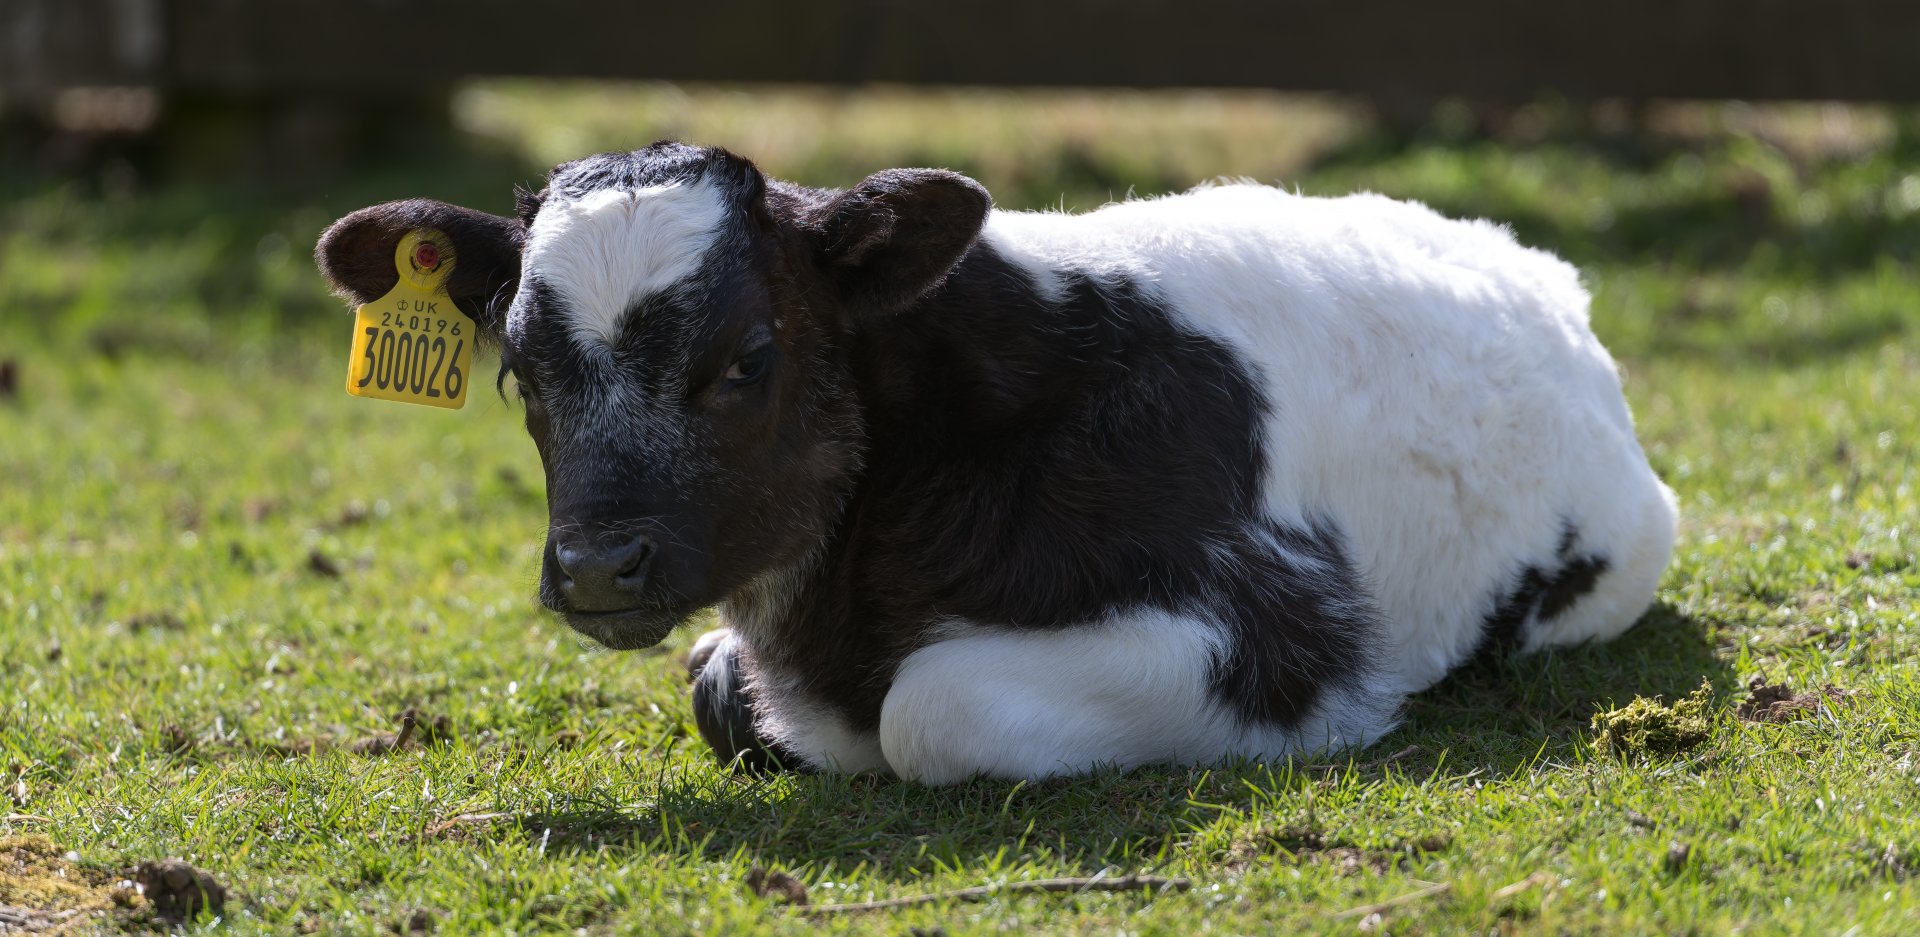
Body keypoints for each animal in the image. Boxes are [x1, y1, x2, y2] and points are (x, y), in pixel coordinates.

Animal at [316, 141, 1677, 784]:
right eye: (518, 368)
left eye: (748, 356)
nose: (599, 566)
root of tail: (1531, 263)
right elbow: (720, 684)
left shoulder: (1283, 632)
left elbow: (934, 706)